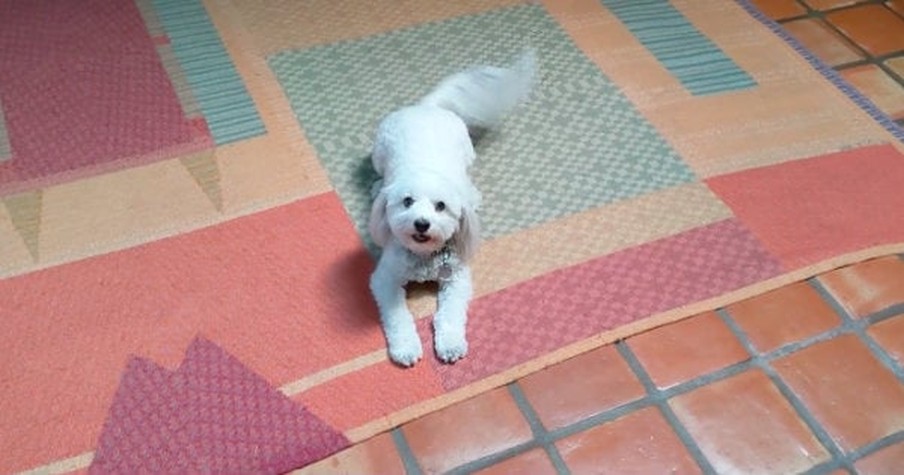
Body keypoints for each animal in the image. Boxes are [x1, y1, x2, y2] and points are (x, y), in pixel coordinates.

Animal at [370, 52, 536, 366]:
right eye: (407, 201)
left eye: (441, 206)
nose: (422, 223)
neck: (424, 257)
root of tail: (428, 108)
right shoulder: (385, 279)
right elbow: (398, 317)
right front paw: (406, 348)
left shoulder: (457, 278)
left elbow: (449, 315)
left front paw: (450, 344)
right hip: (378, 153)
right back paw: (375, 187)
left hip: (467, 153)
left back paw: (474, 195)